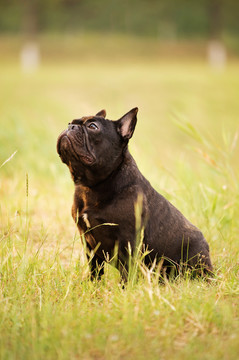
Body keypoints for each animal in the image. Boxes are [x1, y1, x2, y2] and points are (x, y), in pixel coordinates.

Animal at [56, 108, 213, 280]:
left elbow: (126, 272)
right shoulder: (88, 242)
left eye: (92, 126)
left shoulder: (127, 241)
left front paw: (125, 287)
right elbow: (95, 270)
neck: (90, 186)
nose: (70, 127)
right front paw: (93, 286)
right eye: (70, 123)